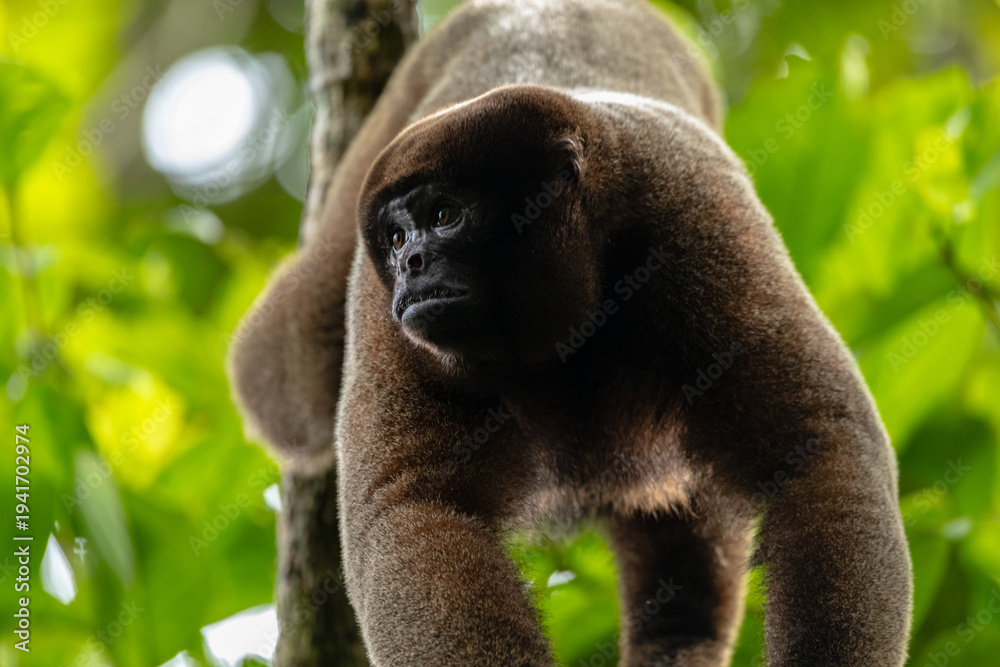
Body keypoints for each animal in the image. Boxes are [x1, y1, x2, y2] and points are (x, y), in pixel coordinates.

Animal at [228, 0, 913, 665]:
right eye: (396, 238)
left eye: (445, 215)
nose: (412, 263)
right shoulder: (382, 313)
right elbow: (415, 510)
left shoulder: (694, 208)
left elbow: (822, 445)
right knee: (283, 364)